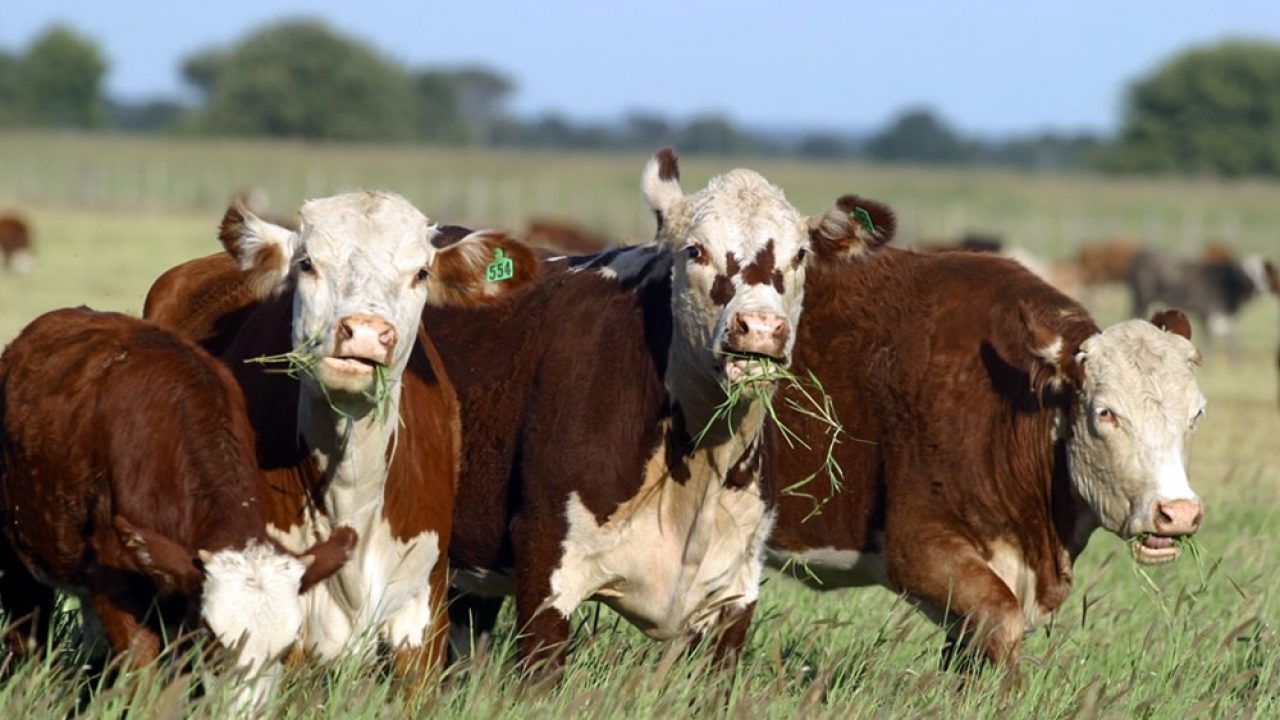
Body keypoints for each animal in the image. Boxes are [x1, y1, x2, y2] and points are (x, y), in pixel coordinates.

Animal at [1126, 245, 1274, 358]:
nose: (1261, 290)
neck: (1225, 283)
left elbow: (1232, 338)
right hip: (1142, 299)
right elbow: (1210, 340)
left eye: (1263, 275)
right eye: (1247, 276)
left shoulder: (1223, 316)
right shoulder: (1207, 313)